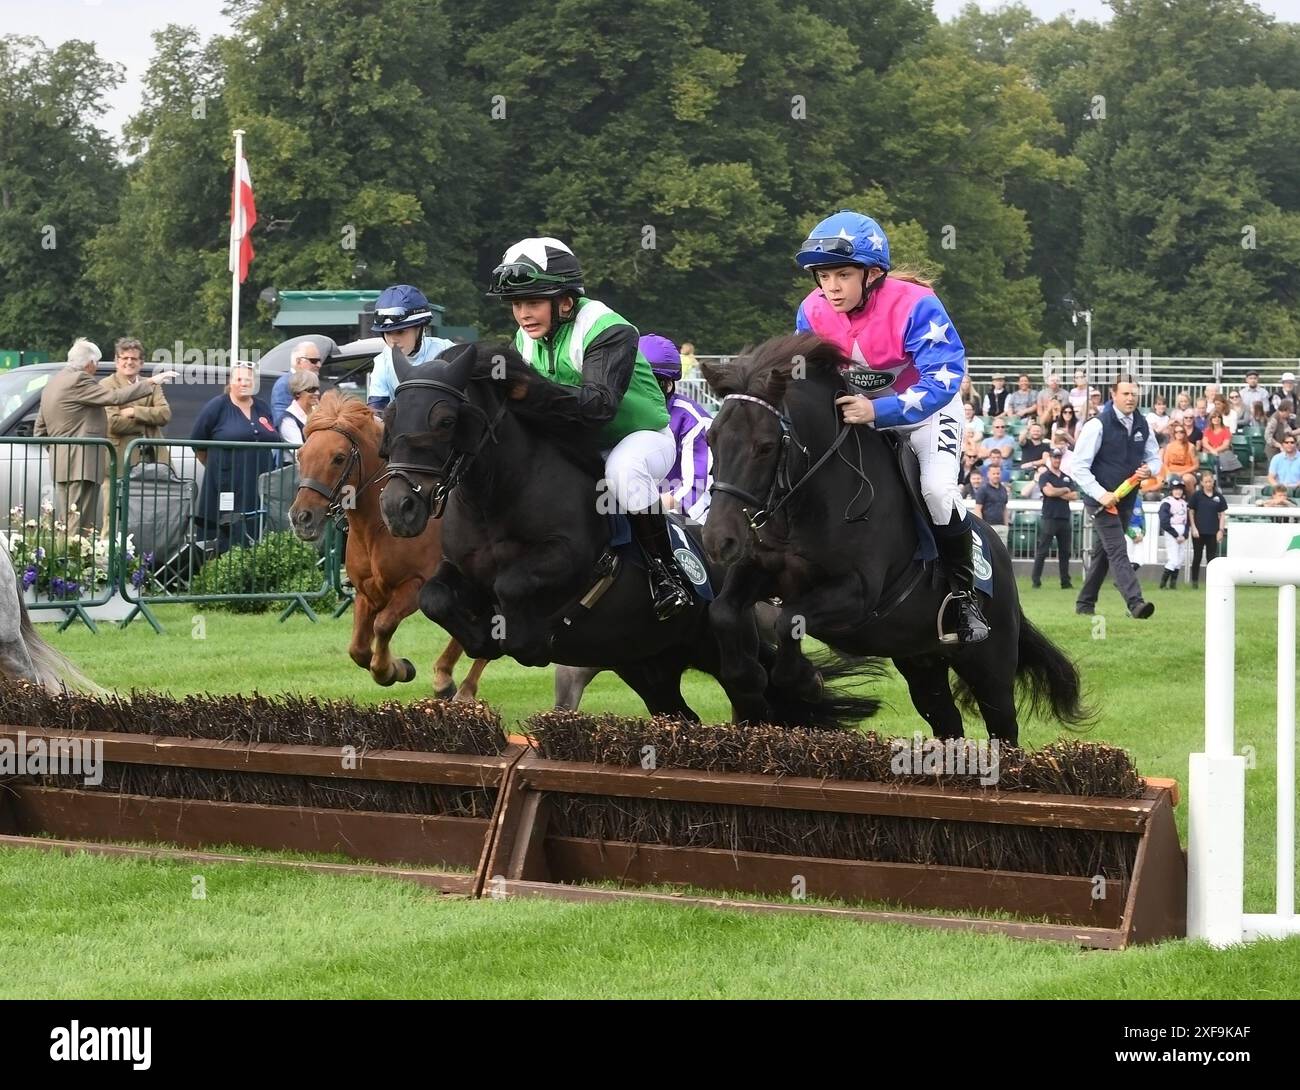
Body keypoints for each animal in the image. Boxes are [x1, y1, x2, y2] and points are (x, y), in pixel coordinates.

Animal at [377, 345, 883, 728]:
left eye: (444, 420)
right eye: (392, 413)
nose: (398, 507)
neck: (498, 496)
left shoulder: (565, 558)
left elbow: (513, 585)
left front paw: (514, 637)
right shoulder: (459, 570)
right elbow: (436, 597)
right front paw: (474, 644)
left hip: (715, 652)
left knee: (759, 701)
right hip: (646, 664)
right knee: (683, 714)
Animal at [702, 332, 1086, 749]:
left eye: (766, 446)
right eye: (710, 438)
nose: (717, 539)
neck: (810, 502)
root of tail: (999, 553)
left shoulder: (856, 593)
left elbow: (790, 620)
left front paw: (807, 681)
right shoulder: (759, 570)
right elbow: (722, 611)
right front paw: (748, 676)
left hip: (988, 664)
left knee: (1004, 727)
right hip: (920, 661)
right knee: (946, 719)